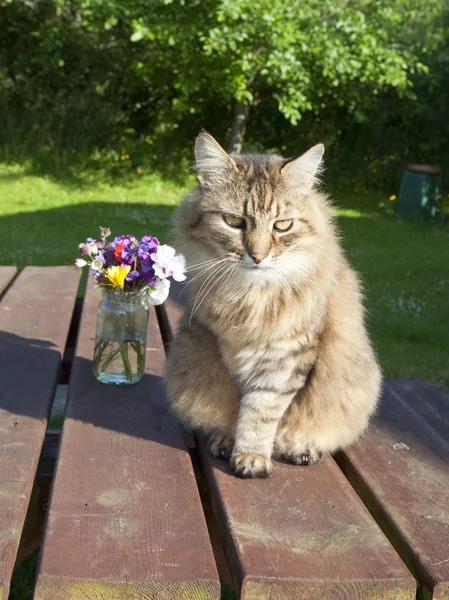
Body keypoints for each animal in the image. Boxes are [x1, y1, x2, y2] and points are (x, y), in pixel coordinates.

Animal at [163, 131, 380, 478]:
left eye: (282, 226)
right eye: (234, 221)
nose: (258, 256)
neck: (252, 296)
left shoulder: (287, 354)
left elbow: (261, 411)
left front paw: (252, 457)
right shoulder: (225, 347)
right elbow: (239, 408)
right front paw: (233, 442)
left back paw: (299, 447)